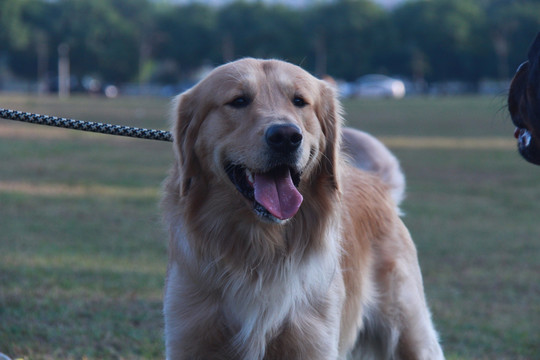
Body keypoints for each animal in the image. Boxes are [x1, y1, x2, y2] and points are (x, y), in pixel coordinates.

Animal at [161, 57, 442, 358]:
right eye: (238, 101)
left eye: (299, 101)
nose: (285, 136)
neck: (260, 250)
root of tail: (376, 182)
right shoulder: (190, 338)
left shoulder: (312, 343)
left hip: (410, 334)